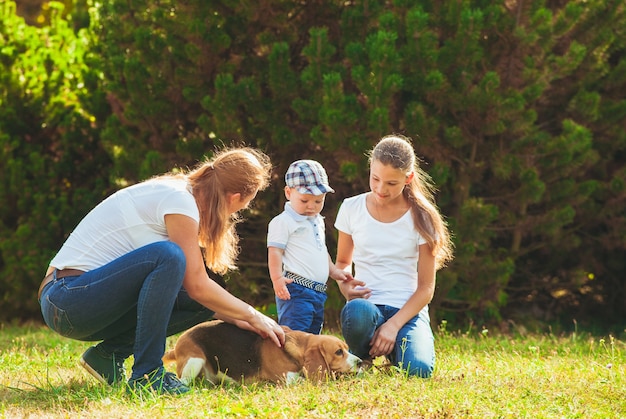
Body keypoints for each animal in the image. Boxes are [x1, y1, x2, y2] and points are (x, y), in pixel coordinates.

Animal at [162, 322, 360, 388]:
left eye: (347, 348)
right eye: (338, 352)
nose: (360, 362)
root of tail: (177, 345)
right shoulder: (288, 379)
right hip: (195, 360)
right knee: (184, 380)